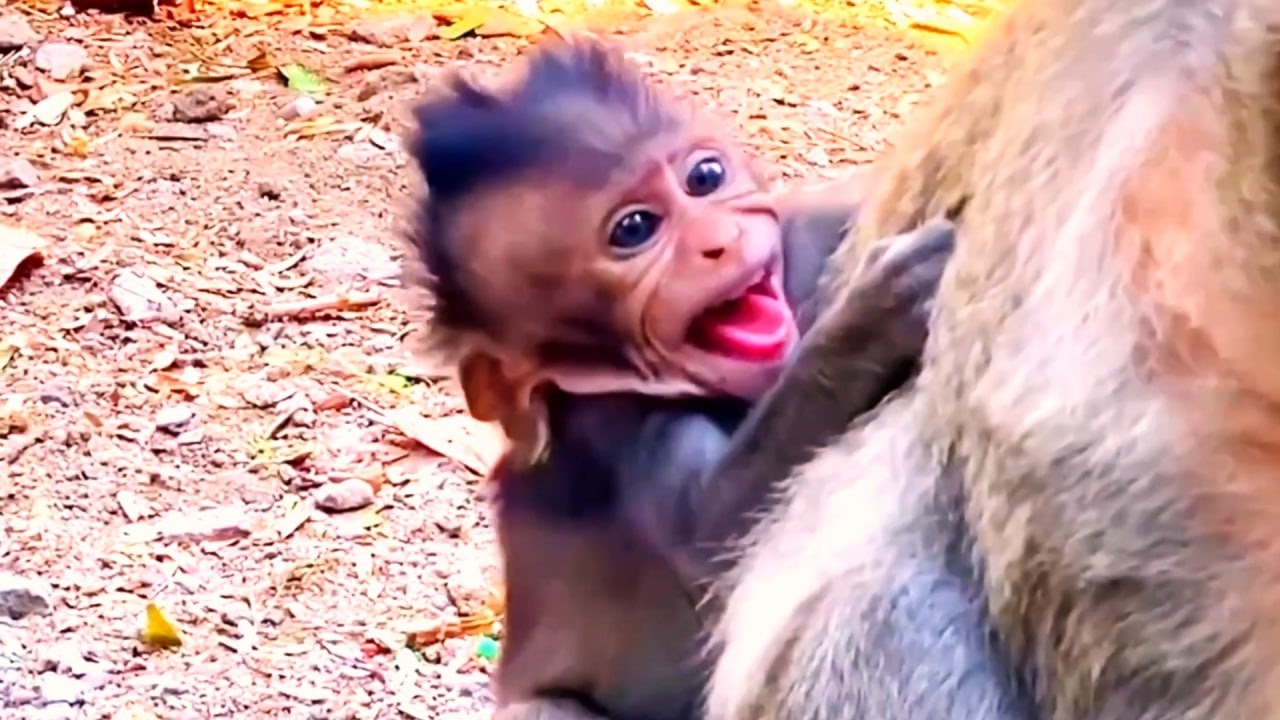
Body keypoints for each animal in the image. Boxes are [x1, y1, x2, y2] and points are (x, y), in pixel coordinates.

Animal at [400, 37, 956, 720]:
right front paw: (870, 321)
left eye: (705, 178)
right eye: (635, 229)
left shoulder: (803, 241)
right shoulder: (618, 417)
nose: (718, 242)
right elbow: (712, 530)